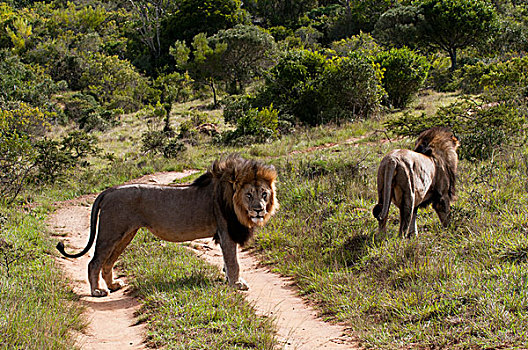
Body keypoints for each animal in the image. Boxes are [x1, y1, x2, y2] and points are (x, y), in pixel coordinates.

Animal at [56, 154, 280, 296]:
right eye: (249, 194)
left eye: (264, 194)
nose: (259, 210)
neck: (236, 203)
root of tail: (109, 190)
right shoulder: (226, 232)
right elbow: (233, 262)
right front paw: (237, 284)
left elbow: (227, 262)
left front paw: (228, 280)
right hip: (110, 233)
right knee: (94, 262)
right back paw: (97, 291)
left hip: (125, 234)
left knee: (108, 262)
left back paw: (113, 285)